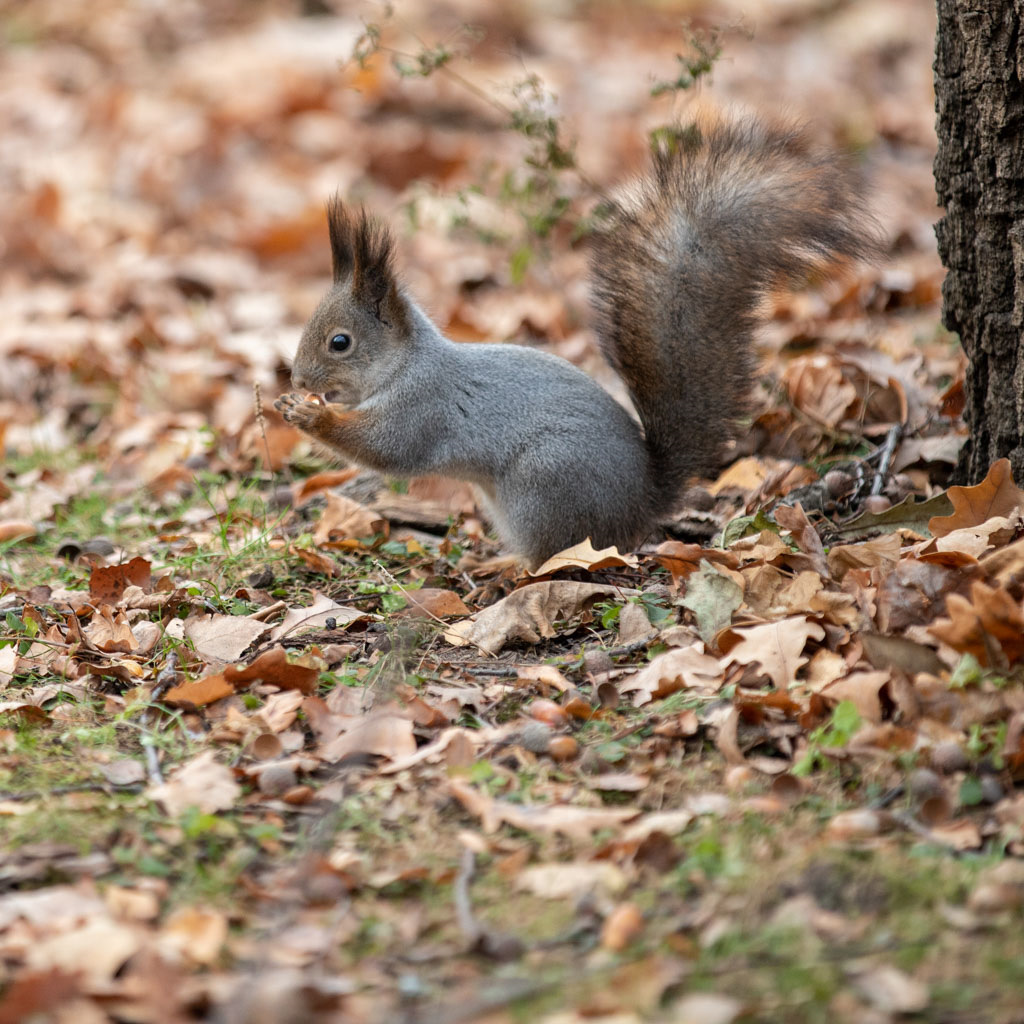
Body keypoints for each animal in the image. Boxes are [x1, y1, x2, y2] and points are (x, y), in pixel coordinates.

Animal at [276, 116, 876, 573]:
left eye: (340, 342)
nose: (300, 380)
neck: (405, 364)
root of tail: (642, 504)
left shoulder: (424, 406)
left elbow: (388, 450)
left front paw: (310, 416)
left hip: (542, 489)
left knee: (557, 554)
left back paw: (509, 571)